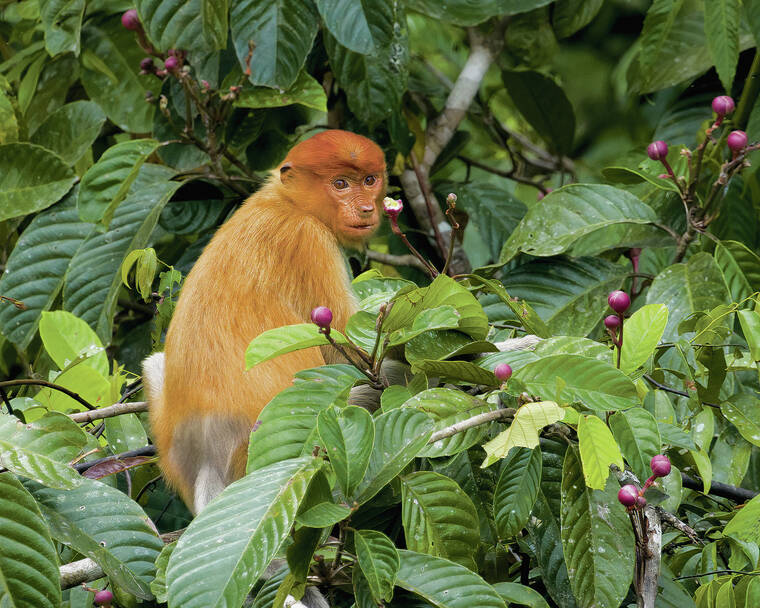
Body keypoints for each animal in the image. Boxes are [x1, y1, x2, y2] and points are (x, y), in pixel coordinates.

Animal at [144, 131, 386, 516]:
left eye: (369, 180)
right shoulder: (309, 240)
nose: (366, 209)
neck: (288, 202)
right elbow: (353, 353)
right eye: (340, 184)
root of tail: (207, 458)